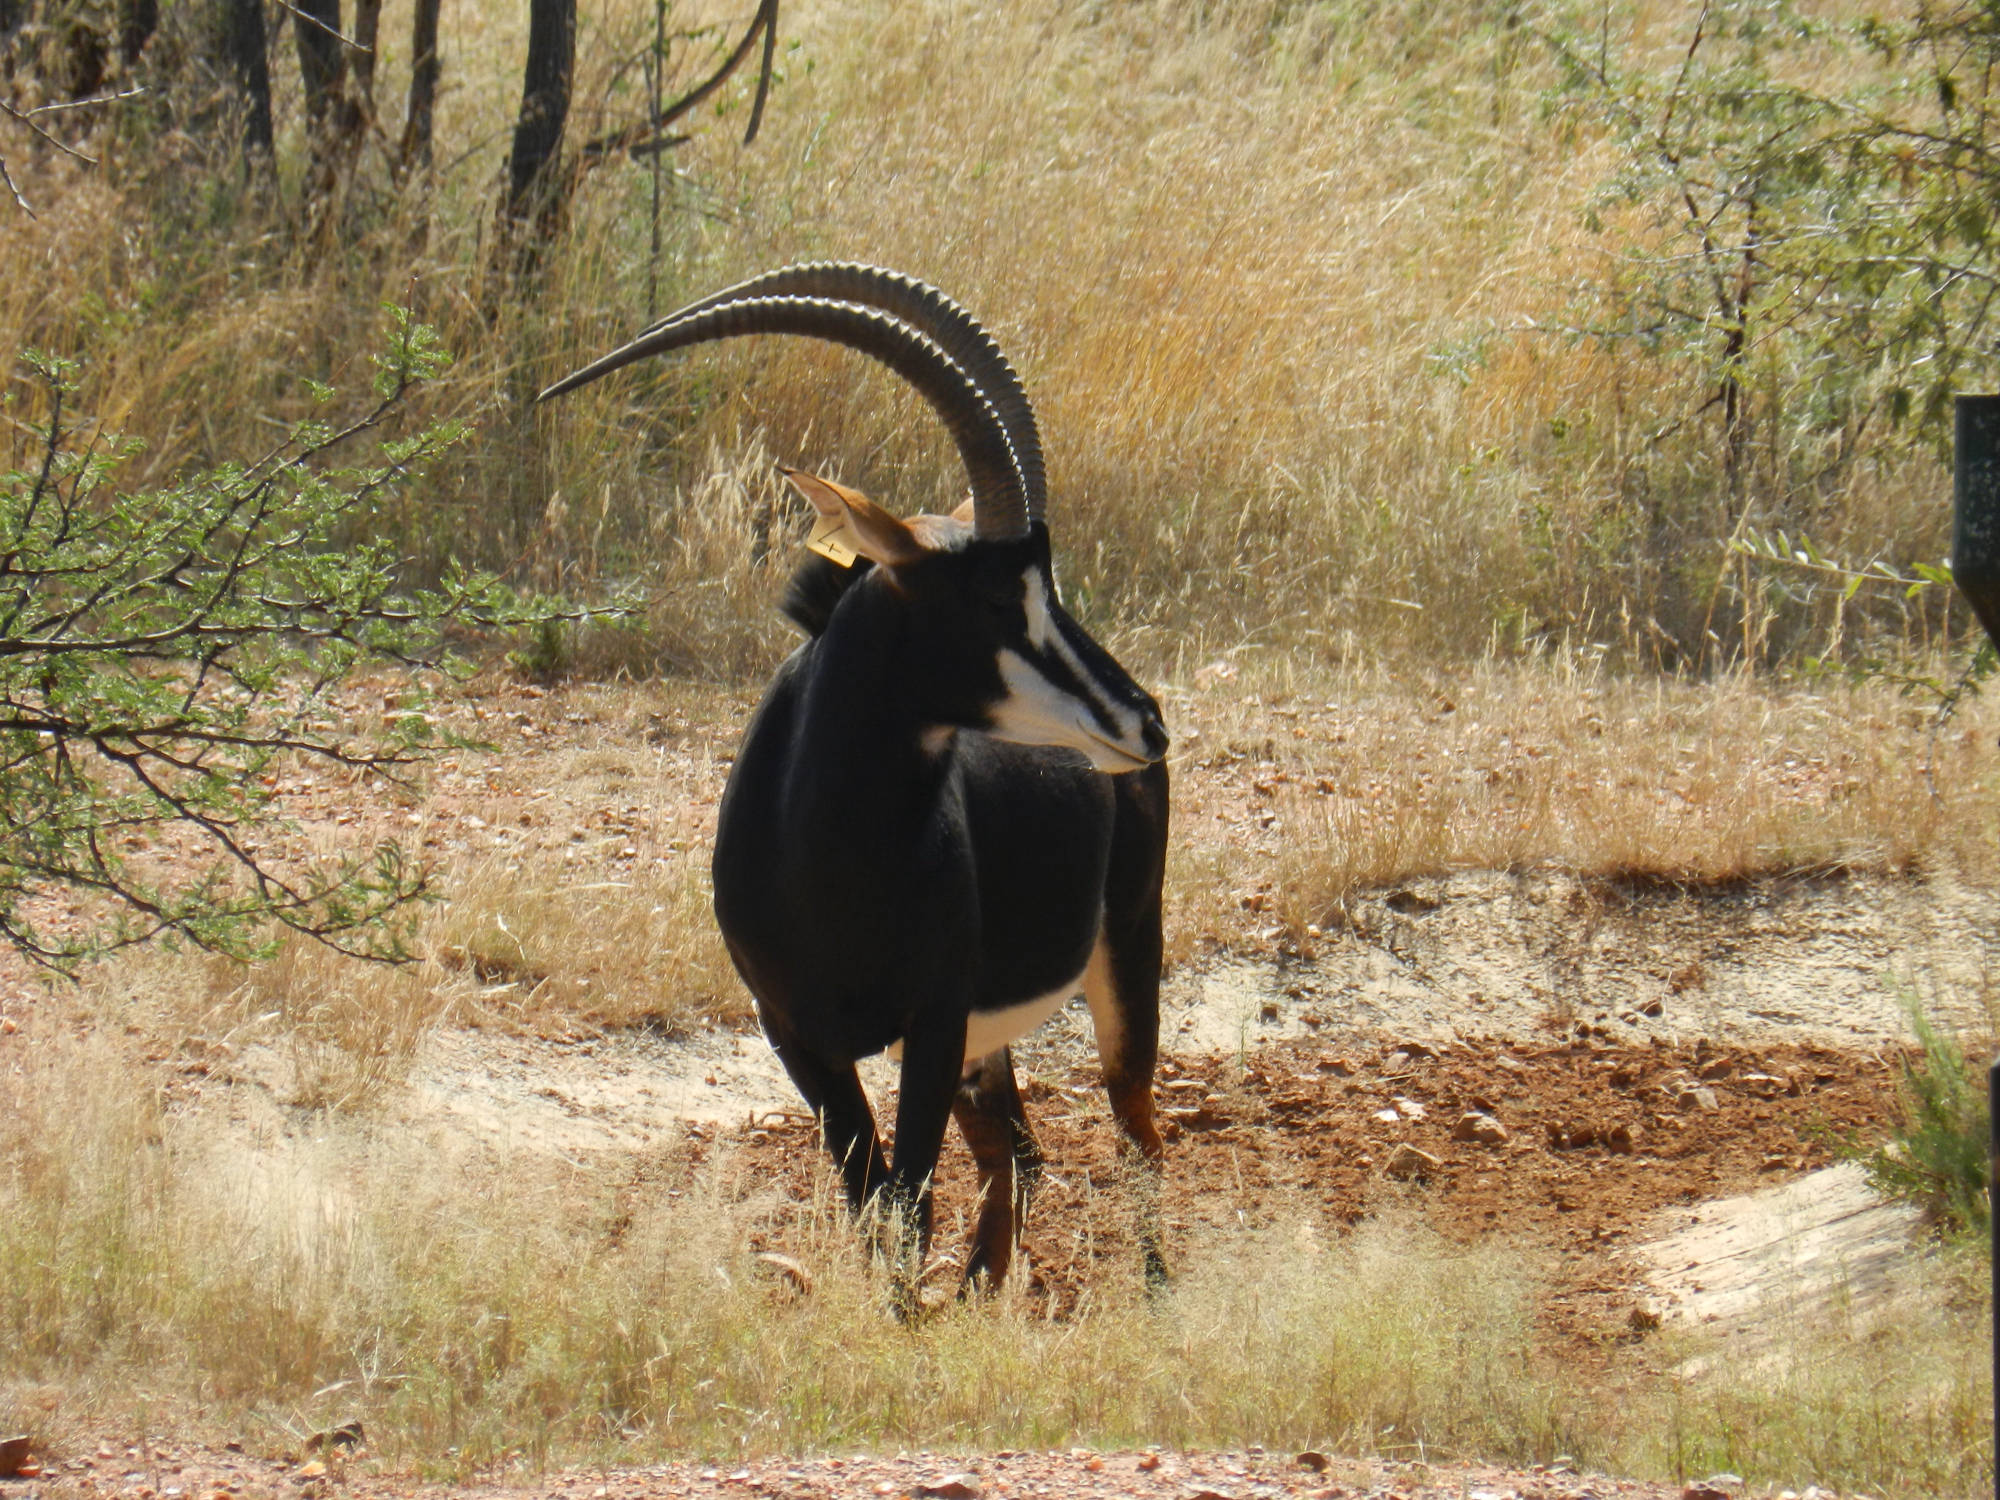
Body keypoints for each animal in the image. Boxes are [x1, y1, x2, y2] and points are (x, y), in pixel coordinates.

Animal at [538, 264, 1171, 1301]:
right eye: (995, 596)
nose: (1145, 722)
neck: (830, 854)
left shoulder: (932, 1023)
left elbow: (905, 1203)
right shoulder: (800, 1037)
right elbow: (872, 1201)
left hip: (1122, 956)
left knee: (1135, 1134)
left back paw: (1150, 1293)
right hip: (980, 1046)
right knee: (1017, 1154)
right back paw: (981, 1290)